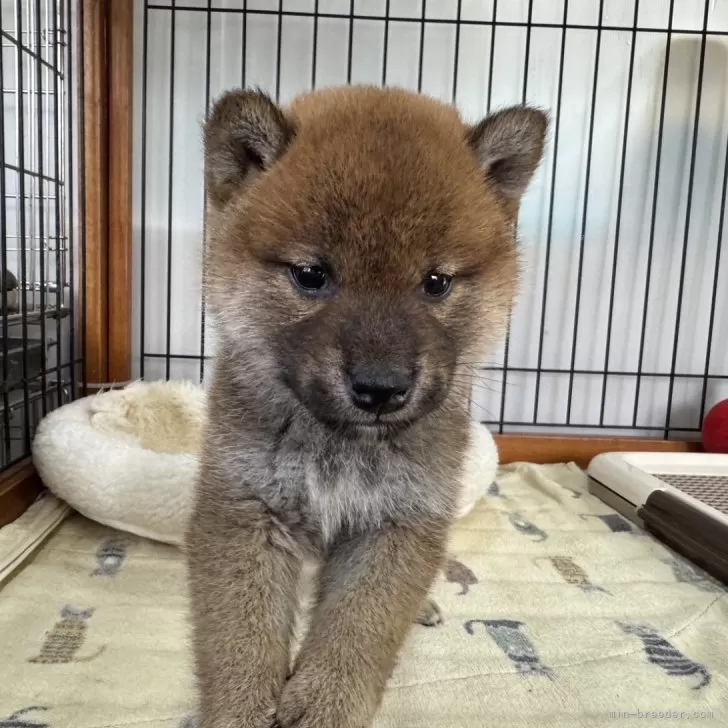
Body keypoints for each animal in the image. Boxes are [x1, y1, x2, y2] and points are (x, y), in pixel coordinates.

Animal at [188, 84, 544, 728]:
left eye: (436, 282)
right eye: (311, 275)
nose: (382, 387)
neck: (338, 444)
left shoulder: (399, 521)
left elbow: (360, 627)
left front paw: (325, 703)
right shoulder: (245, 510)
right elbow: (241, 639)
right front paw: (242, 709)